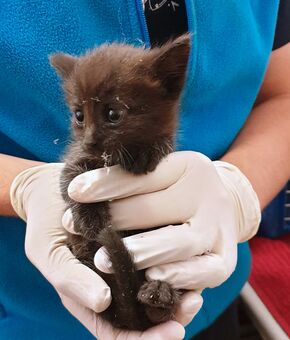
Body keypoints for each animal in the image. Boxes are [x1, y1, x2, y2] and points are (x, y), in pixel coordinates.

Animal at [49, 33, 190, 330]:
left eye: (113, 114)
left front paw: (149, 151)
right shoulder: (74, 158)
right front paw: (90, 219)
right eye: (79, 115)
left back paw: (159, 296)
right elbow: (71, 183)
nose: (90, 141)